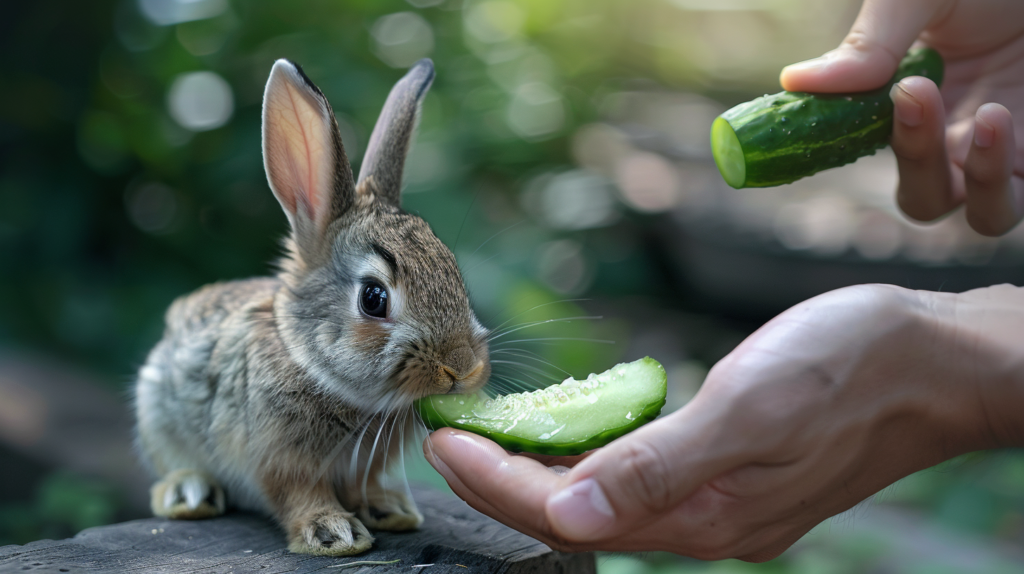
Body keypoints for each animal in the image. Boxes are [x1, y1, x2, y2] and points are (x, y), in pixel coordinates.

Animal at [133, 59, 491, 556]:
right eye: (374, 299)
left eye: (452, 271)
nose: (462, 367)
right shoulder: (277, 458)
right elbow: (297, 494)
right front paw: (333, 534)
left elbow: (366, 485)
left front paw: (389, 509)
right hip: (155, 406)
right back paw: (188, 492)